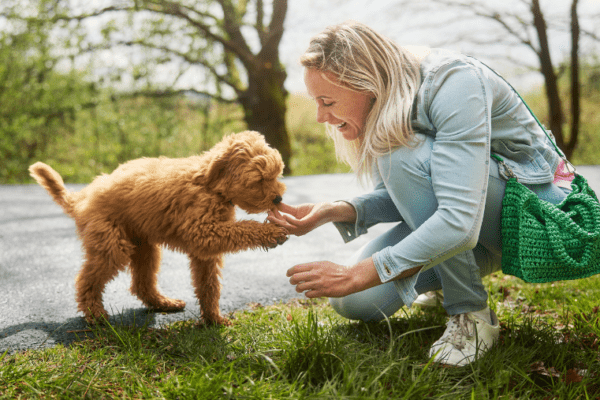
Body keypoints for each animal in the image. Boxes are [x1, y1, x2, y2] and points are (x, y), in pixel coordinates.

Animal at [30, 130, 288, 324]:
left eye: (276, 174)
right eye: (259, 179)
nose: (279, 199)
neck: (210, 184)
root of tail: (81, 199)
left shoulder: (204, 251)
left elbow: (209, 285)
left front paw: (213, 320)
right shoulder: (204, 232)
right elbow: (244, 228)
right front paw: (272, 233)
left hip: (143, 246)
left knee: (141, 283)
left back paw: (163, 303)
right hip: (112, 246)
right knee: (86, 280)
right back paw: (95, 314)